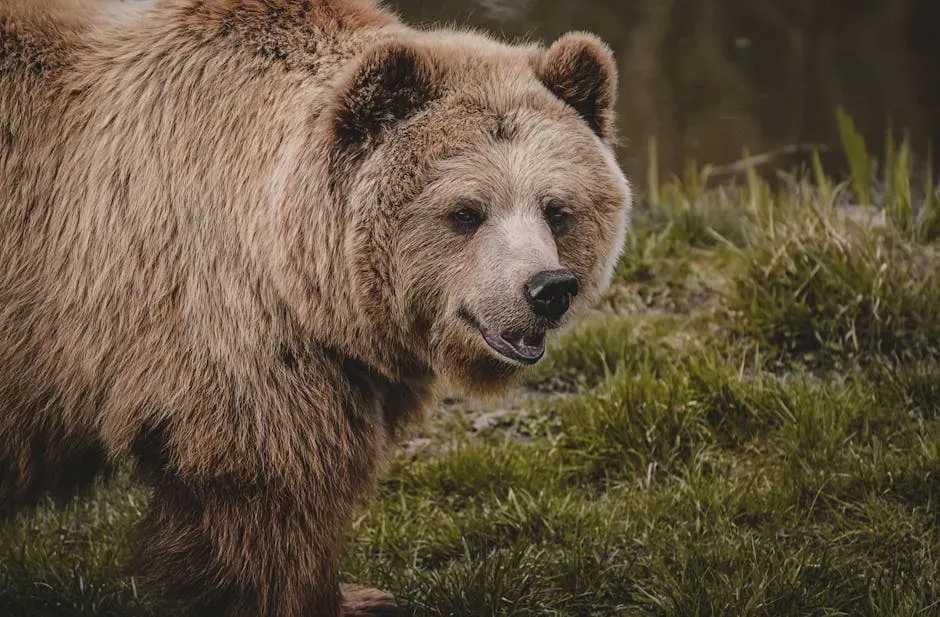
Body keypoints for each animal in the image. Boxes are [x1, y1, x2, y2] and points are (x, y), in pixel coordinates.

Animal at [0, 0, 632, 615]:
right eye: (465, 212)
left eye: (555, 208)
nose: (547, 288)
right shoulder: (230, 335)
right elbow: (268, 494)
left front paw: (358, 594)